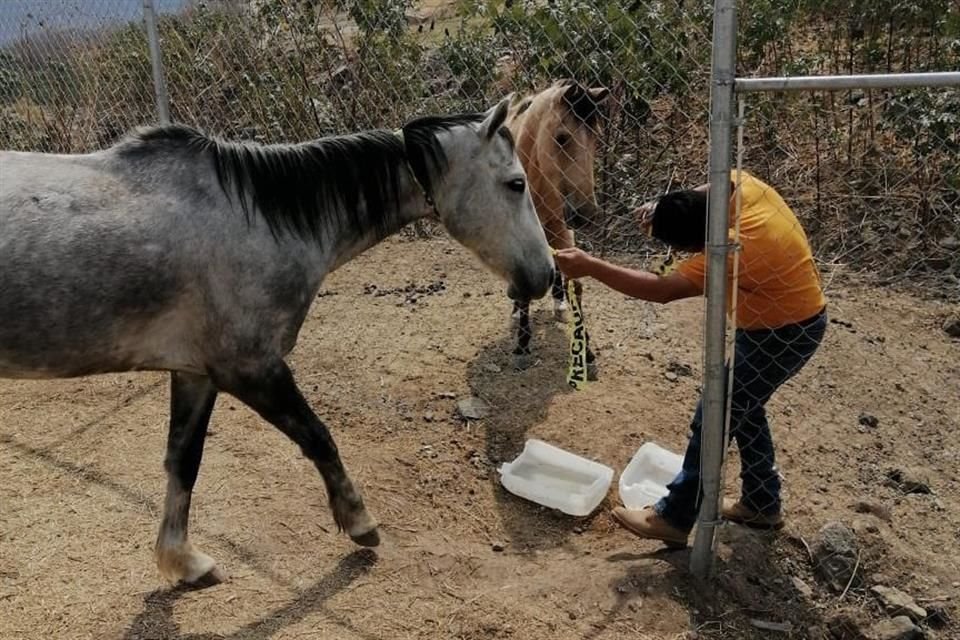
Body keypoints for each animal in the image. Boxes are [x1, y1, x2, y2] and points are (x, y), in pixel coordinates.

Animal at [0, 99, 556, 584]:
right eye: (516, 183)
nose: (546, 275)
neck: (258, 219)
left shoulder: (196, 373)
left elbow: (183, 461)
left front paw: (183, 562)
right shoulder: (252, 369)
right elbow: (318, 437)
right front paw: (359, 521)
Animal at [506, 79, 612, 376]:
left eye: (596, 138)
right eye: (562, 138)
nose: (586, 214)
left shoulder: (563, 229)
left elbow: (576, 283)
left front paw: (587, 350)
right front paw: (522, 347)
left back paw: (559, 304)